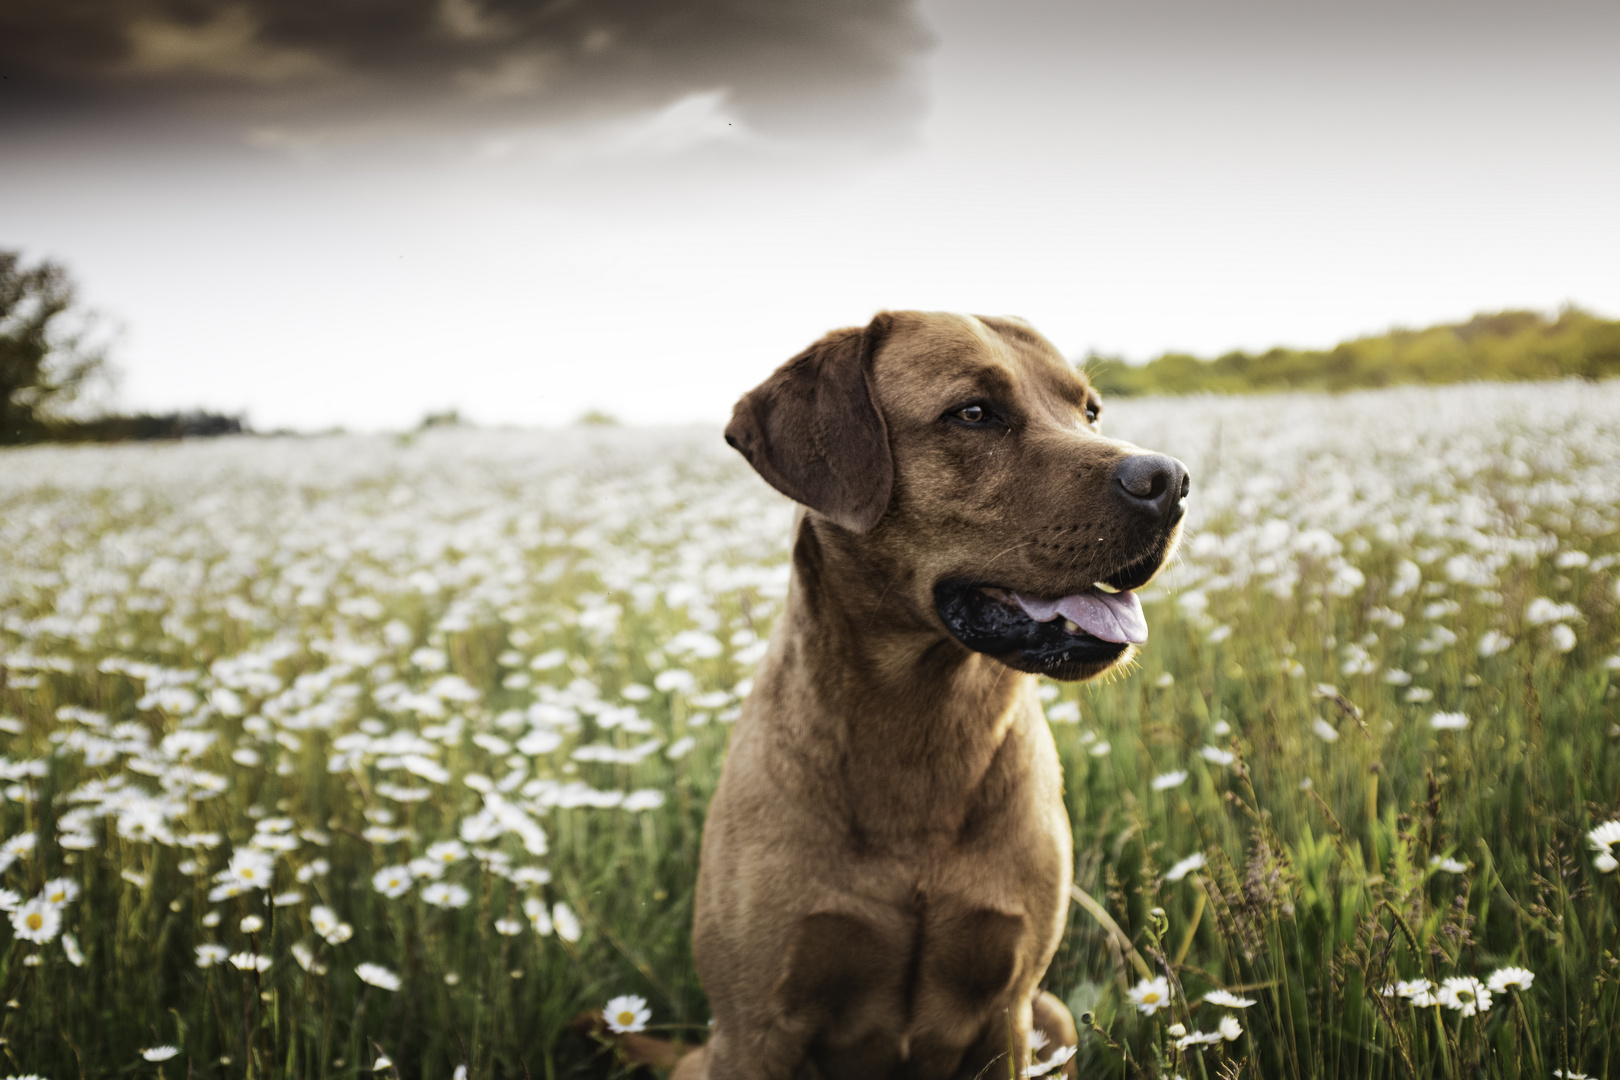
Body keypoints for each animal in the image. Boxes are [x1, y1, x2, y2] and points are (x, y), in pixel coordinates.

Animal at [670, 310, 1192, 1080]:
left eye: (1090, 411)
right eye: (973, 414)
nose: (1171, 480)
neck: (922, 726)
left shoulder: (1007, 1006)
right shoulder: (755, 1027)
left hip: (1053, 1015)